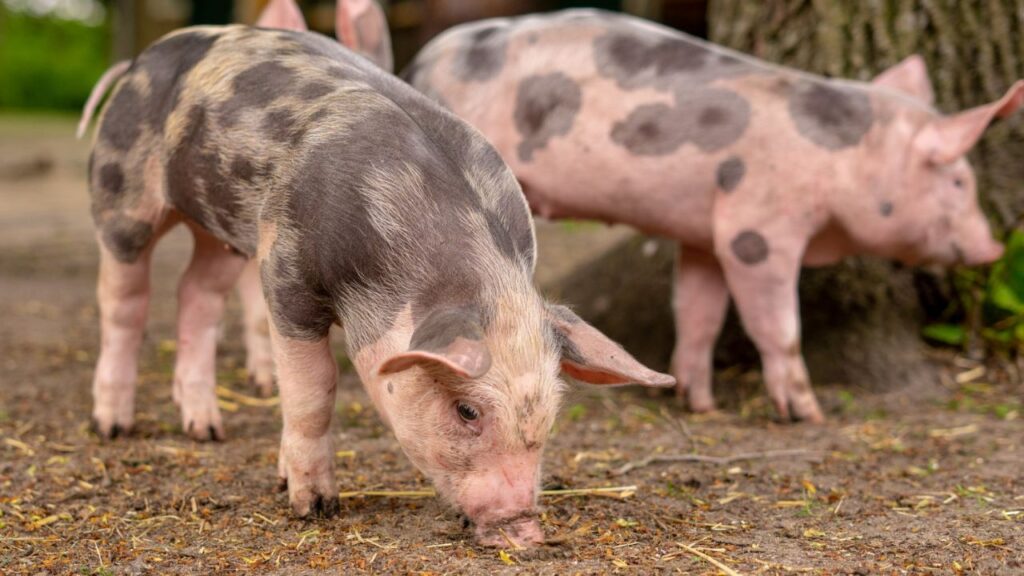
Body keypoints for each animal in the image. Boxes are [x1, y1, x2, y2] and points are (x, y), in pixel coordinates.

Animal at [77, 18, 674, 548]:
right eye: (467, 411)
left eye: (550, 410)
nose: (525, 531)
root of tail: (138, 62)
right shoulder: (284, 271)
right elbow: (313, 390)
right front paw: (313, 505)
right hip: (122, 196)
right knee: (123, 302)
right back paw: (112, 426)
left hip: (221, 229)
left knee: (195, 294)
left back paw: (205, 429)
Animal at [403, 9, 1024, 423]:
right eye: (959, 180)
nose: (995, 246)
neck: (843, 158)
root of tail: (423, 63)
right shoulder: (756, 230)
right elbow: (778, 326)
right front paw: (808, 414)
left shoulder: (703, 234)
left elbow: (699, 311)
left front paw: (697, 402)